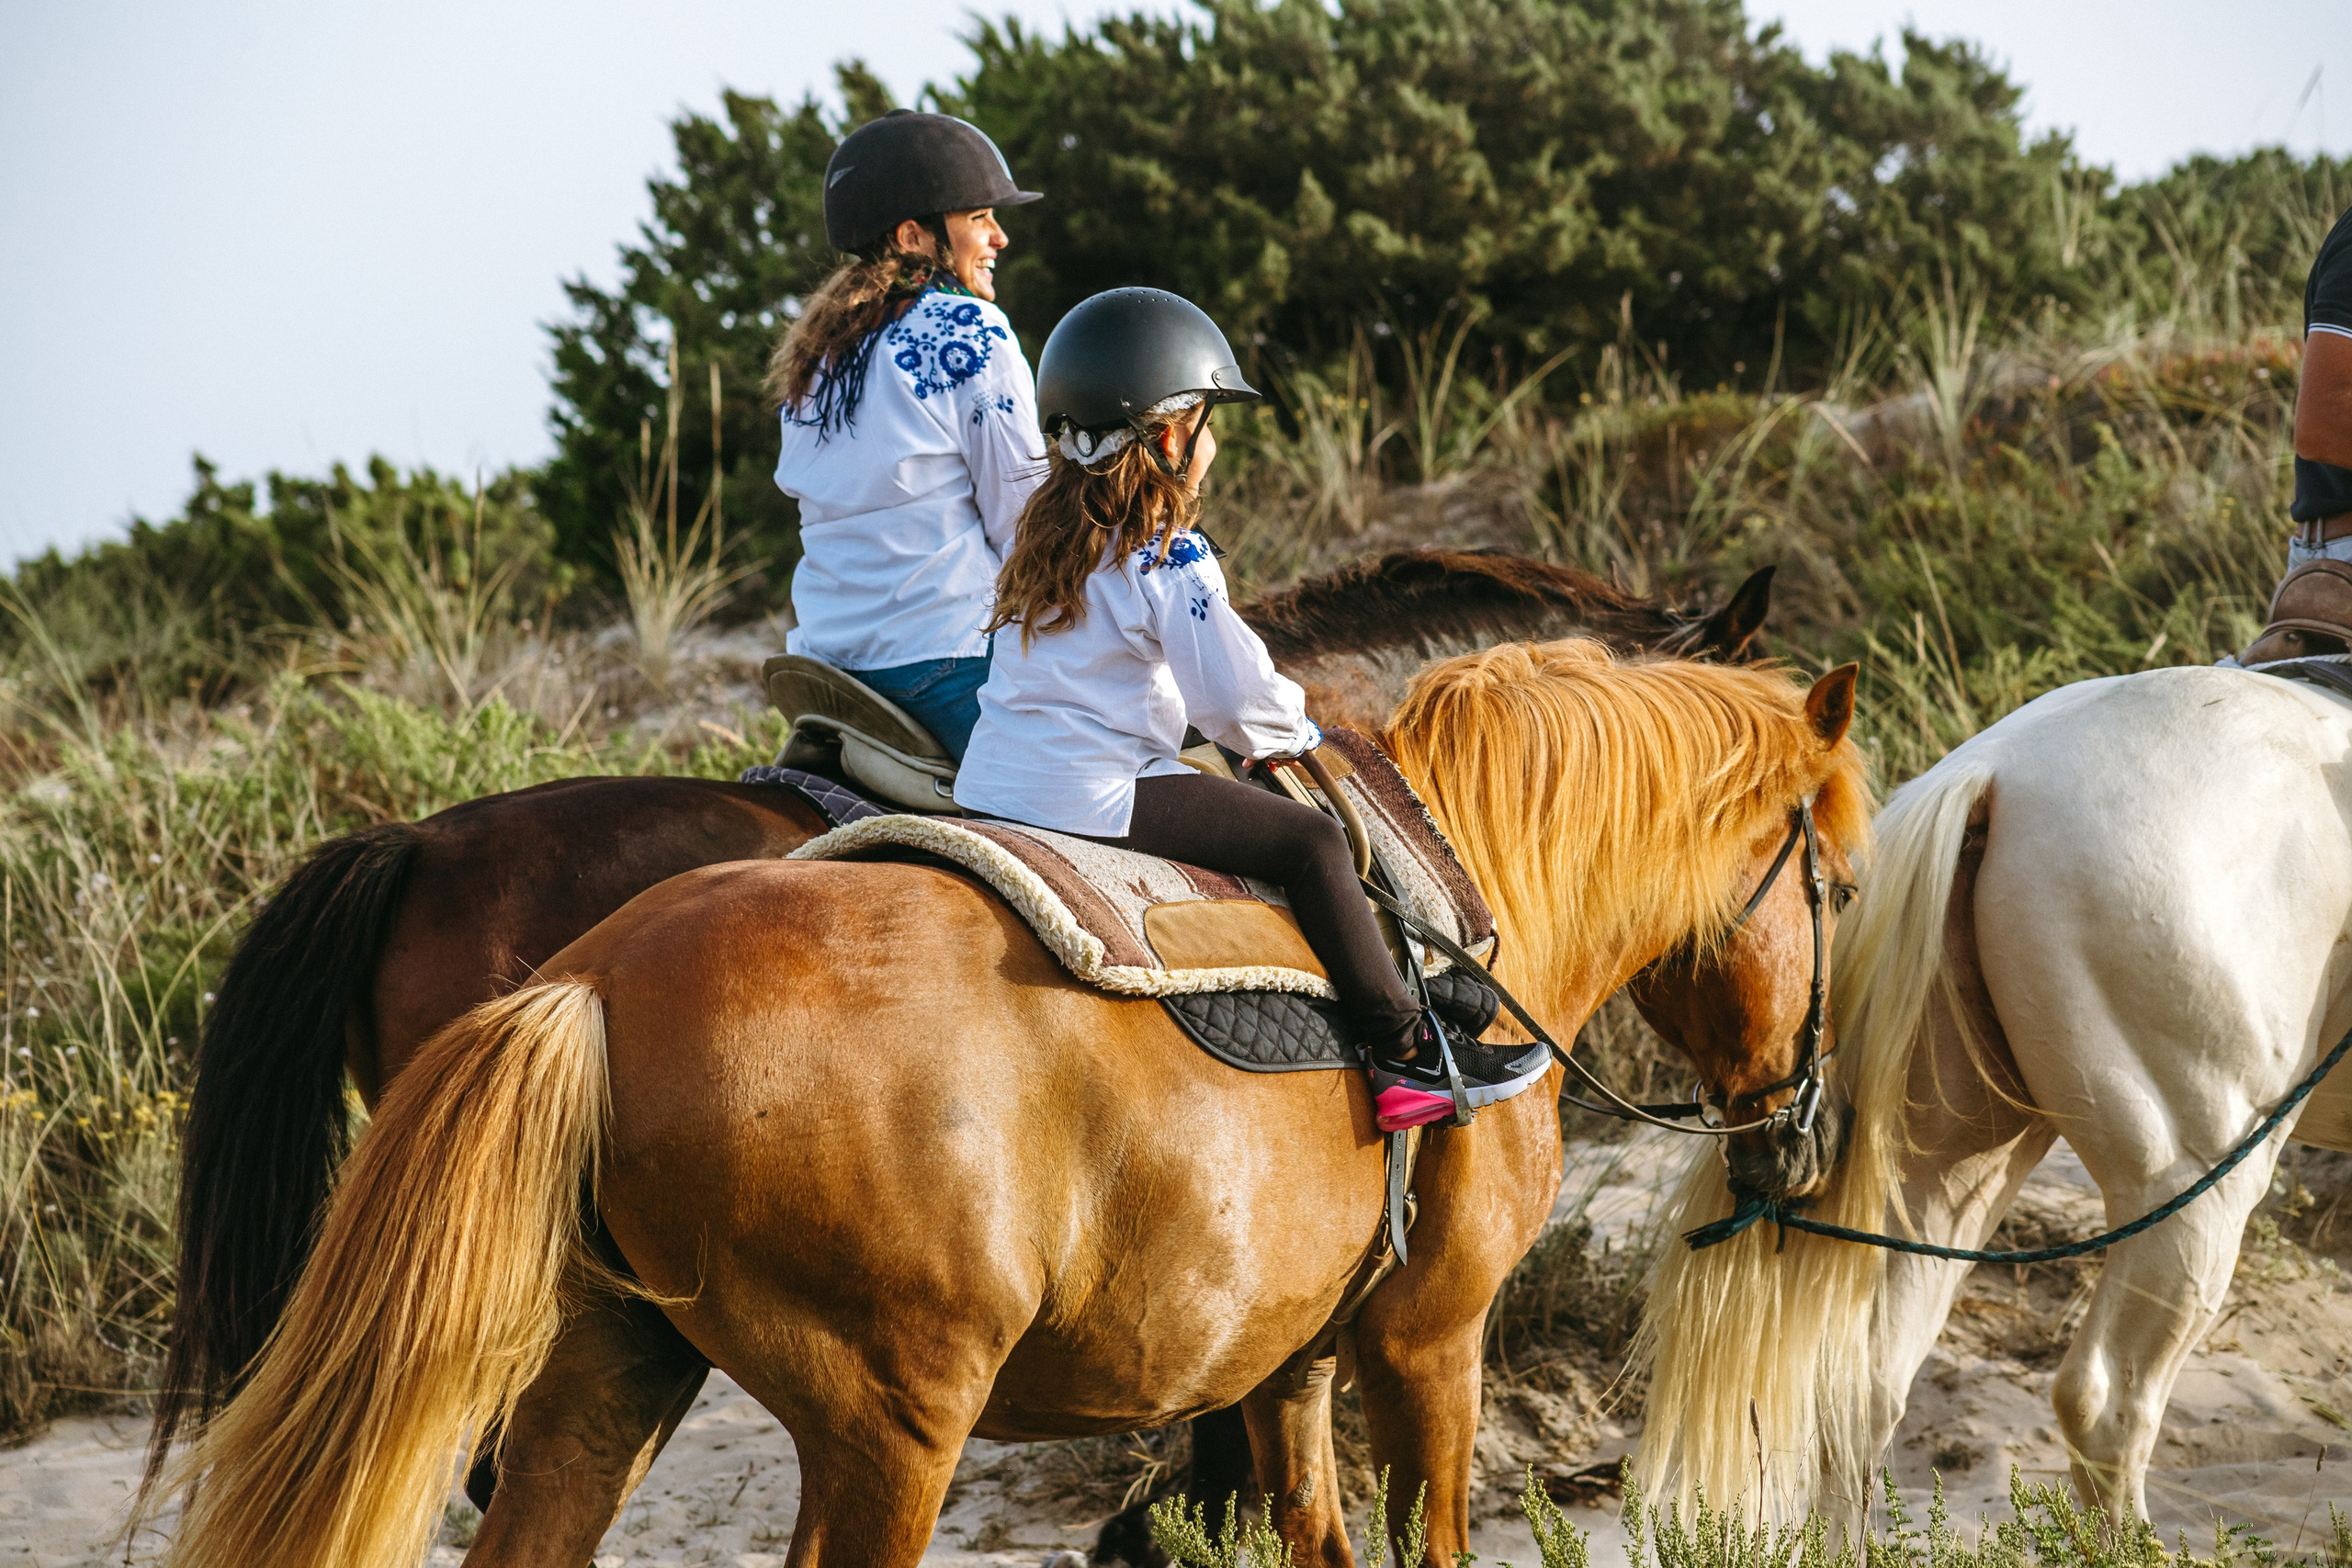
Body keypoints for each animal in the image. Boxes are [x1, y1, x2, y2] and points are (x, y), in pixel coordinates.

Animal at [147, 640, 1866, 1568]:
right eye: (1839, 884)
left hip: (602, 1369)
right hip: (892, 1418)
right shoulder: (1428, 1340)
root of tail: (595, 983)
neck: (1455, 902)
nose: (1803, 1124)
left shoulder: (1289, 1364)